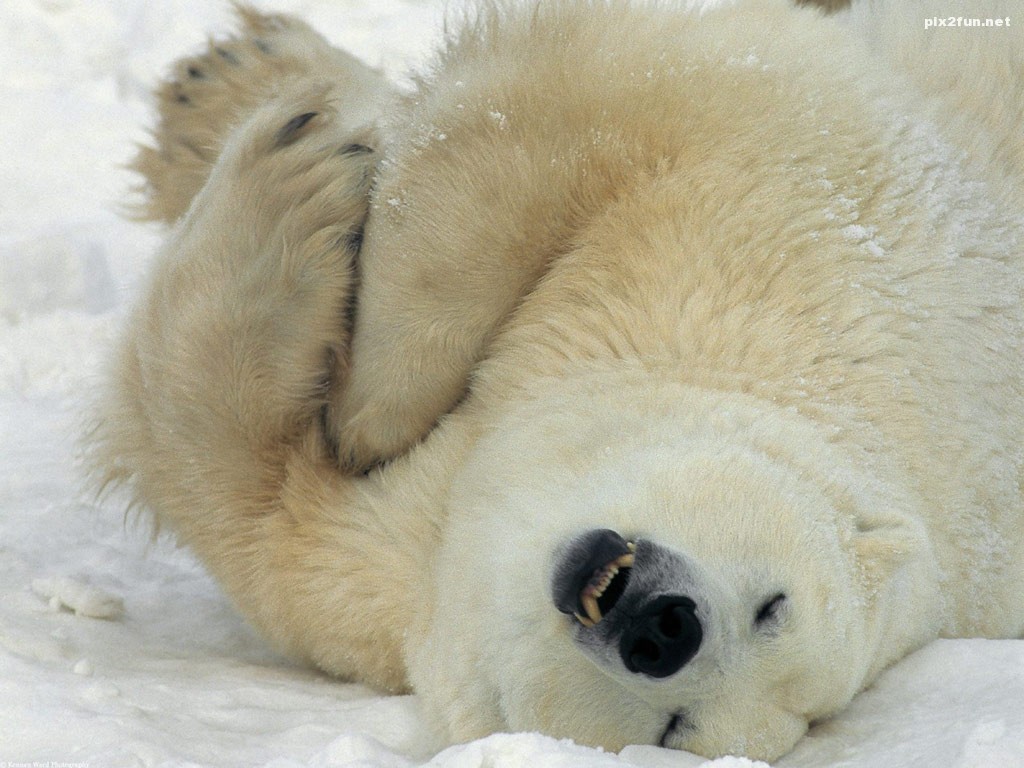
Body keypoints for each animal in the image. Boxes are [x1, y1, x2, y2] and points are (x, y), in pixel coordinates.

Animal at [93, 0, 1024, 761]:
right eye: (775, 605)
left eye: (675, 729)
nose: (665, 625)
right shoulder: (822, 232)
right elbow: (590, 100)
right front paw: (370, 403)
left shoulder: (409, 587)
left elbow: (241, 492)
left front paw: (287, 194)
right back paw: (231, 77)